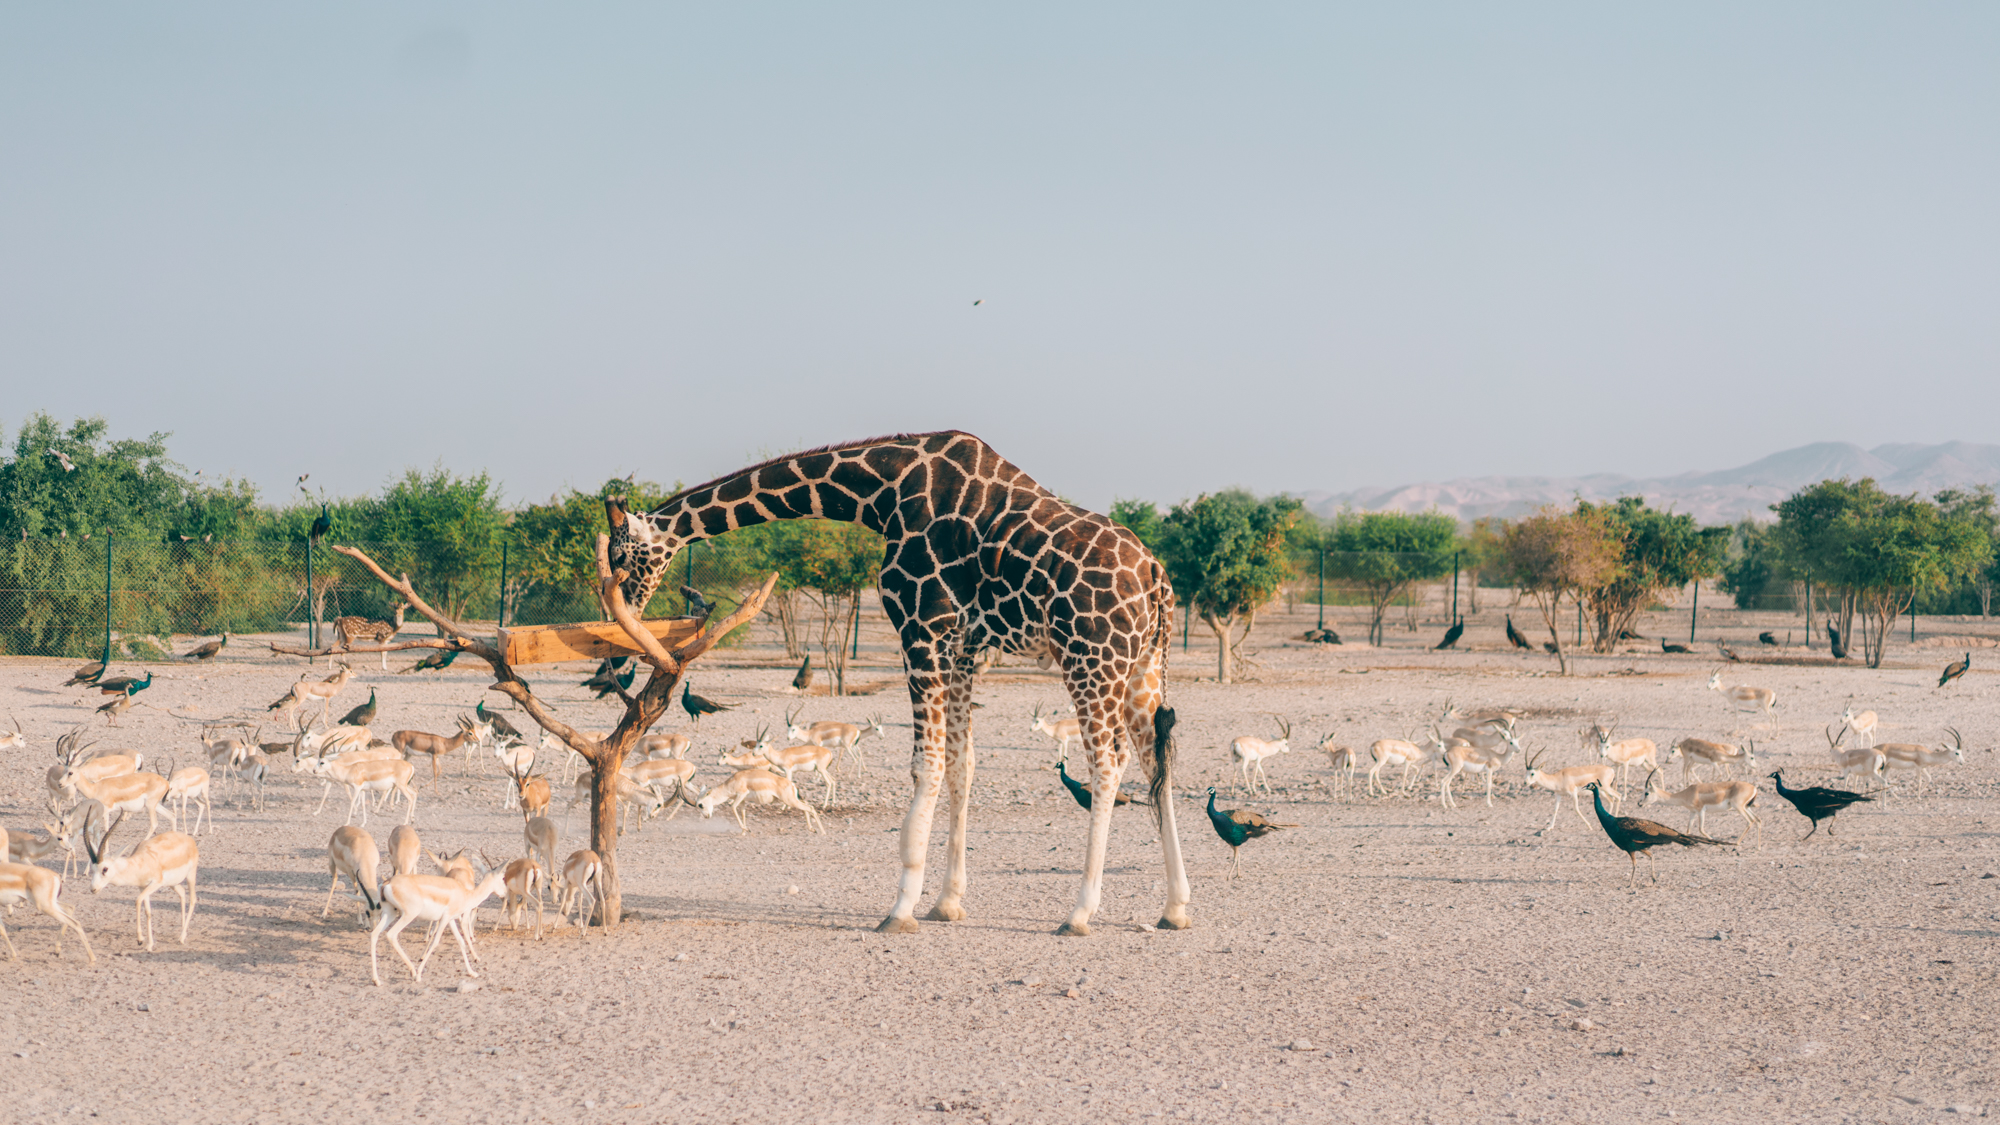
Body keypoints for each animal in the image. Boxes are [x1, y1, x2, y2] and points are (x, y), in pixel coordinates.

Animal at [608, 428, 1184, 928]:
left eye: (619, 554)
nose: (623, 611)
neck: (882, 496)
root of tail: (1157, 578)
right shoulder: (962, 647)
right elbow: (961, 766)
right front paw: (947, 903)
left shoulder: (920, 628)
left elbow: (924, 766)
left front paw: (901, 906)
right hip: (1142, 667)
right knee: (1157, 761)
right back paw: (1176, 908)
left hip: (1090, 658)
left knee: (1108, 764)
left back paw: (1080, 913)